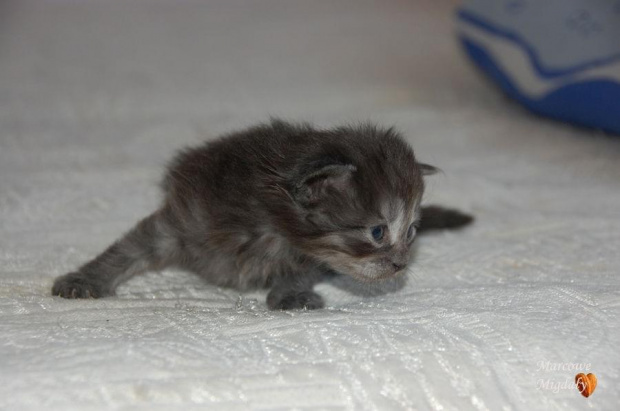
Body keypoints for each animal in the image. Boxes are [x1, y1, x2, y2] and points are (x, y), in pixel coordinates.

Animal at [52, 120, 470, 310]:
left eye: (412, 231)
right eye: (378, 232)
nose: (401, 265)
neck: (268, 226)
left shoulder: (313, 254)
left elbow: (305, 269)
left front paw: (289, 292)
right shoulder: (184, 218)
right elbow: (128, 249)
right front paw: (84, 279)